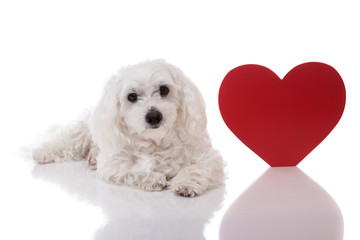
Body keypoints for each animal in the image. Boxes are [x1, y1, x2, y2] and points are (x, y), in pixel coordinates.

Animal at [33, 59, 225, 197]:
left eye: (164, 89)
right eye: (131, 96)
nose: (153, 116)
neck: (156, 142)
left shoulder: (207, 157)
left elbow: (196, 168)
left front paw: (186, 184)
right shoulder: (112, 164)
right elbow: (131, 169)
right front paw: (153, 178)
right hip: (82, 132)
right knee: (64, 141)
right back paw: (41, 153)